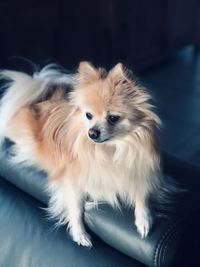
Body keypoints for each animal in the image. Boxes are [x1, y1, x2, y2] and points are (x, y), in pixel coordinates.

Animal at [0, 62, 162, 247]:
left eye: (113, 118)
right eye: (88, 115)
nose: (92, 132)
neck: (110, 150)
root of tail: (39, 100)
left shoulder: (139, 172)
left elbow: (142, 194)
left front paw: (144, 220)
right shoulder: (72, 182)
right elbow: (76, 208)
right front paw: (80, 234)